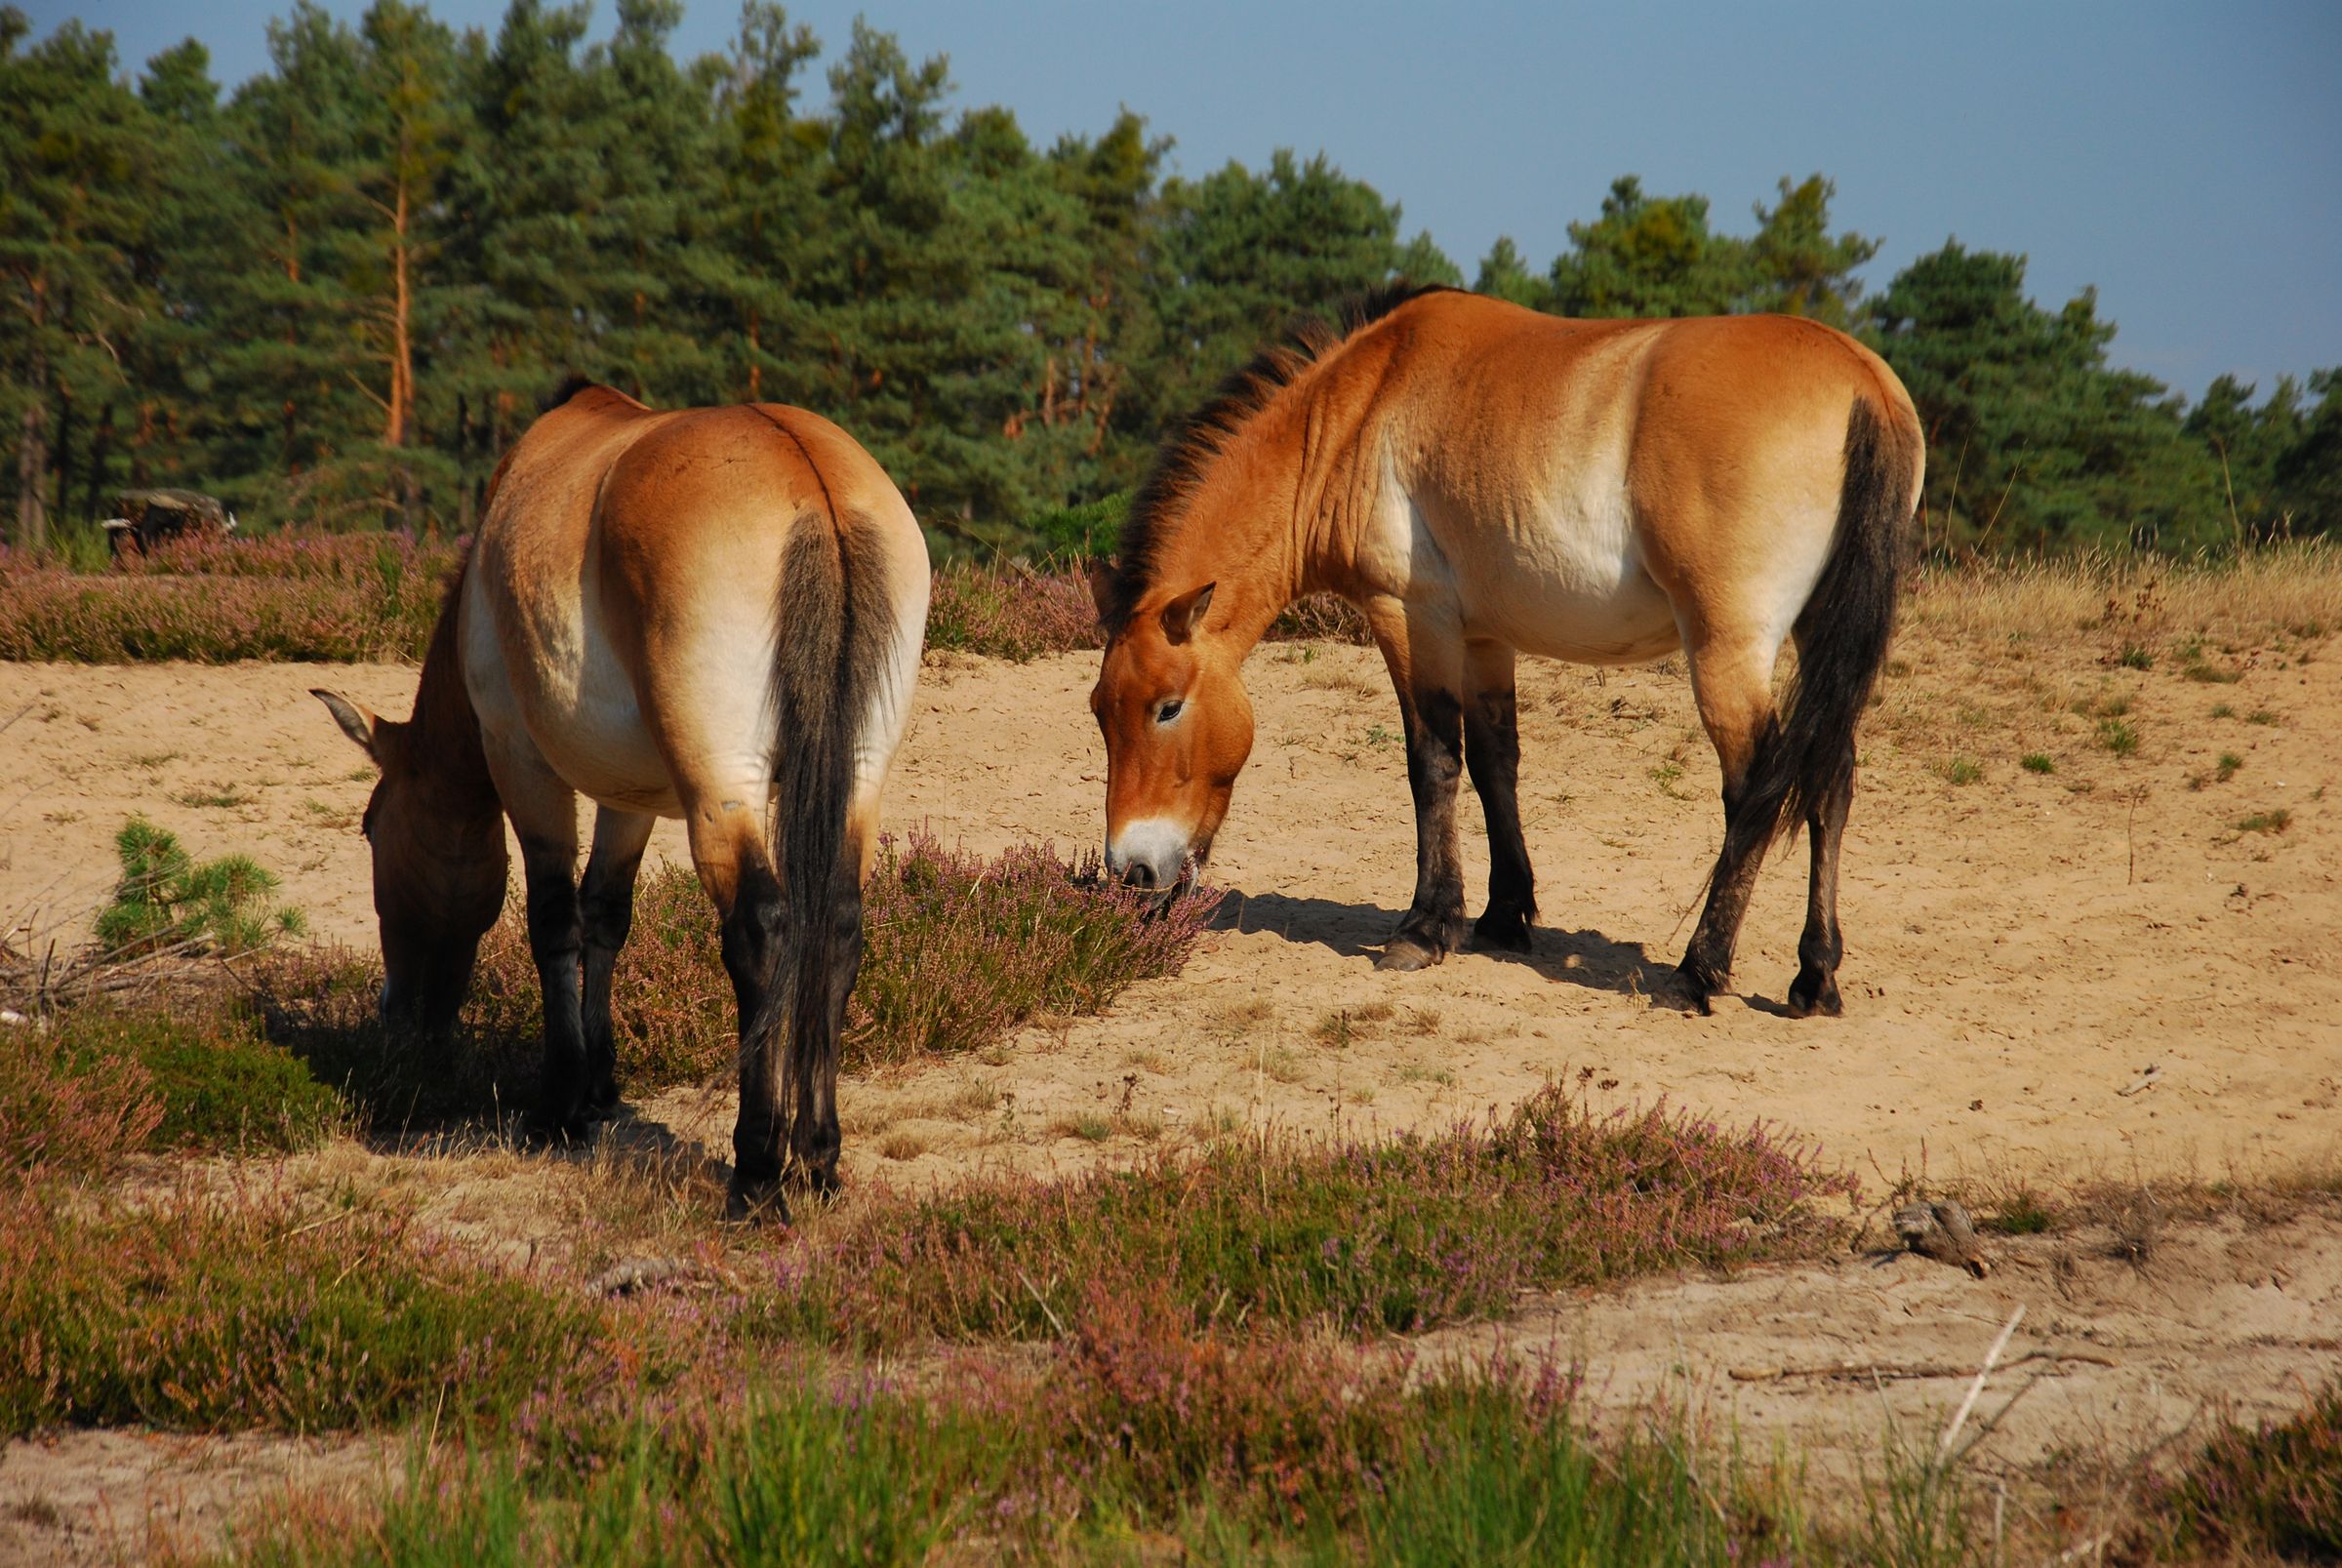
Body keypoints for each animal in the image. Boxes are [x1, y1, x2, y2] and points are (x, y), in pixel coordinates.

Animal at [313, 383, 929, 1219]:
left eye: (372, 828)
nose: (396, 1011)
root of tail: (814, 485)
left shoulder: (522, 764)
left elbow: (553, 922)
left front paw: (560, 1105)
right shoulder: (629, 796)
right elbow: (606, 915)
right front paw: (600, 1085)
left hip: (720, 788)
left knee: (762, 930)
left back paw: (757, 1170)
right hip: (858, 777)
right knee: (834, 925)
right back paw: (818, 1159)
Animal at [1089, 283, 1922, 1016]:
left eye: (1168, 707)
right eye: (1101, 711)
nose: (1132, 871)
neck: (1359, 409)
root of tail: (1862, 384)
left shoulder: (1411, 616)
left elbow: (1433, 764)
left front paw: (1426, 926)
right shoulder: (1486, 636)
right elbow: (1497, 764)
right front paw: (1504, 913)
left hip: (1725, 649)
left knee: (1756, 787)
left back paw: (1697, 972)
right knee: (1831, 780)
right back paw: (1814, 975)